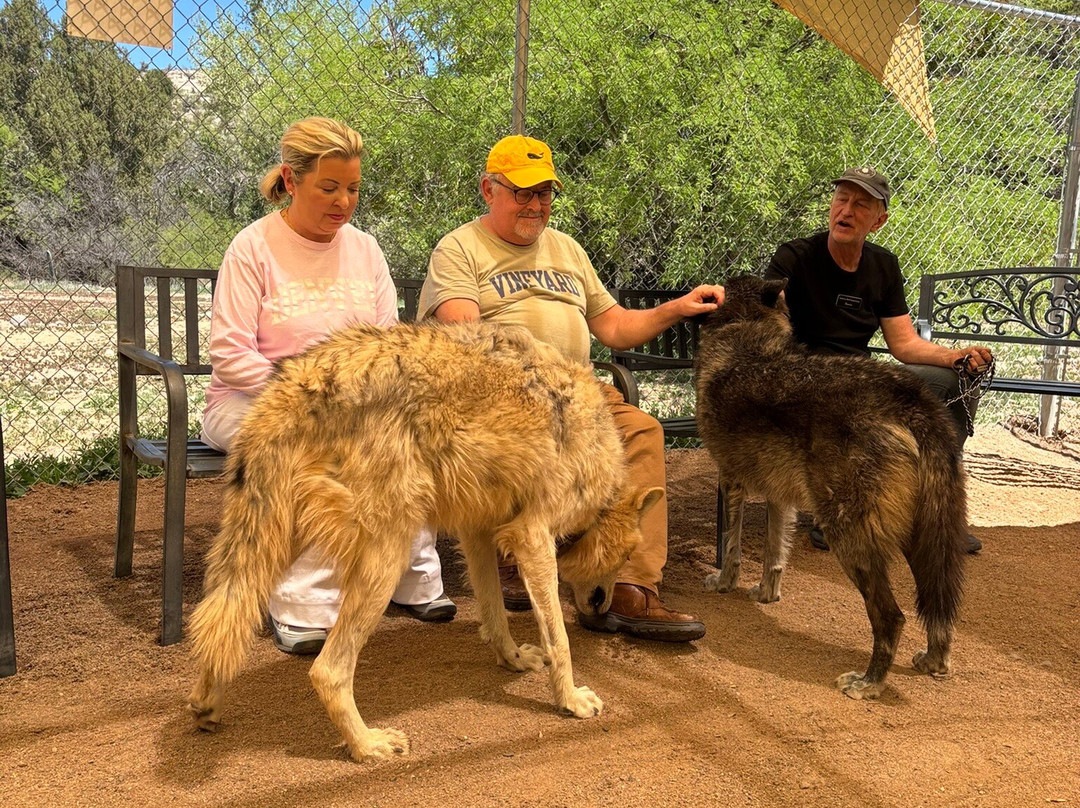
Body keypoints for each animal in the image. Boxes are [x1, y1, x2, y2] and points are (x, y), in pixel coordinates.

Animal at [187, 320, 661, 761]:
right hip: (386, 556)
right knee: (327, 671)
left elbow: (495, 612)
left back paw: (206, 706)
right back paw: (368, 745)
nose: (603, 606)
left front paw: (511, 660)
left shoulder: (478, 532)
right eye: (625, 556)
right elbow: (559, 639)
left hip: (268, 547)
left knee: (218, 625)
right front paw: (571, 700)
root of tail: (294, 381)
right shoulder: (533, 538)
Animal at [694, 275, 966, 699]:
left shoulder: (730, 480)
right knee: (938, 607)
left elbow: (731, 549)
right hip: (921, 540)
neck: (744, 337)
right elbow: (774, 554)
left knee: (892, 617)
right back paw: (932, 662)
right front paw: (766, 595)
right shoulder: (778, 497)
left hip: (849, 537)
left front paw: (724, 584)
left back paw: (869, 683)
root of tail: (911, 400)